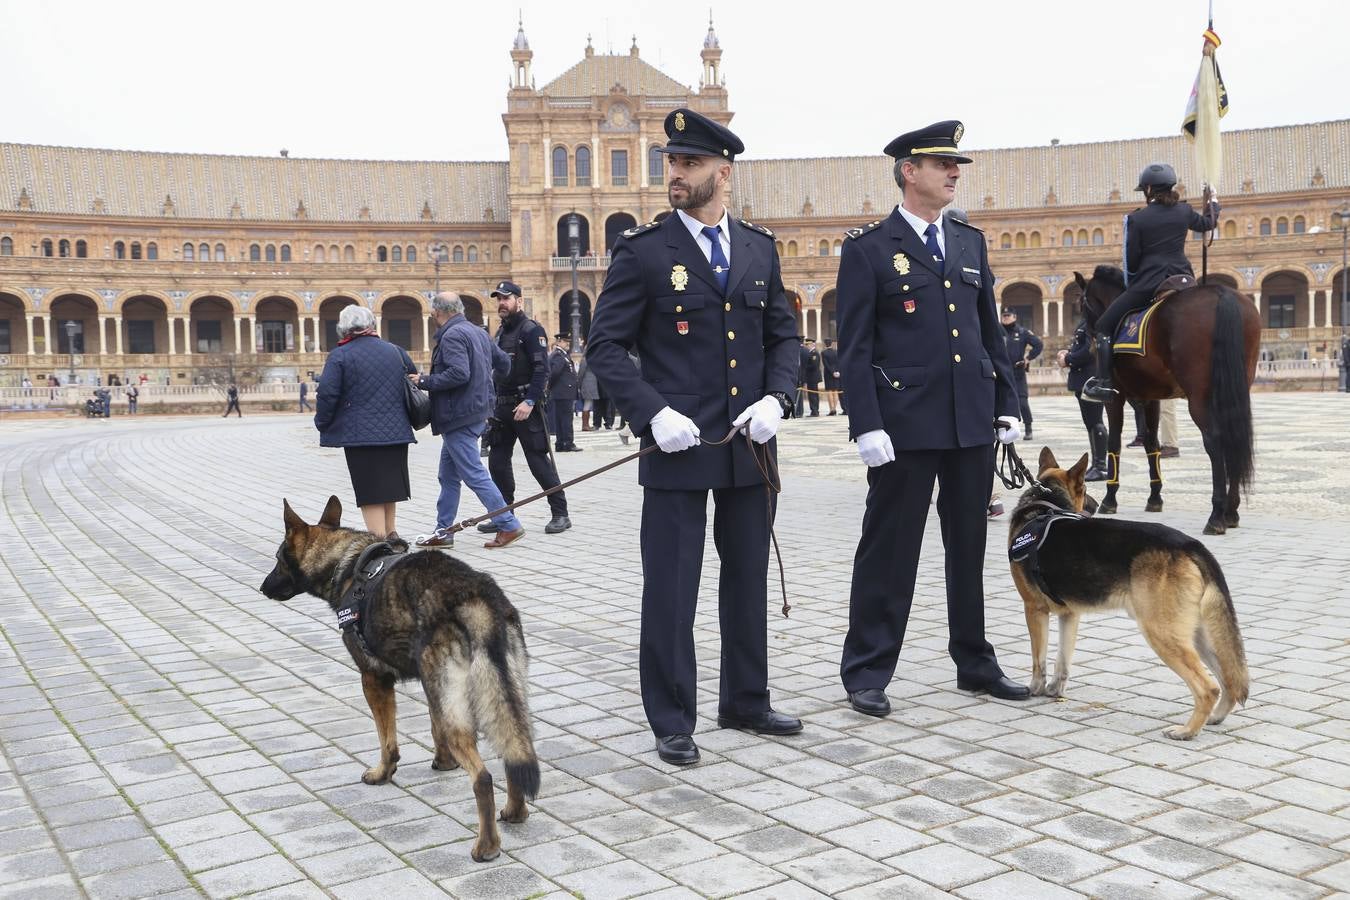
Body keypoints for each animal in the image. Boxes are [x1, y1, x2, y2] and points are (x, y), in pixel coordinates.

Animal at [257, 496, 537, 863]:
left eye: (278, 560)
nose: (262, 587)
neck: (348, 564)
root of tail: (477, 600)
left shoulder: (374, 681)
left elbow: (387, 740)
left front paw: (382, 773)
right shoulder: (430, 689)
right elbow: (433, 728)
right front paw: (443, 763)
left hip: (461, 713)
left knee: (483, 778)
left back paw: (486, 846)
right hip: (504, 700)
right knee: (514, 753)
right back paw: (515, 812)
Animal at [1009, 447, 1247, 739]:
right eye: (1085, 489)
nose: (1096, 505)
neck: (1046, 504)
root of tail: (1191, 545)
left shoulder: (1034, 610)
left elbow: (1039, 660)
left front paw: (1035, 689)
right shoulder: (1070, 615)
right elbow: (1062, 660)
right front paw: (1055, 691)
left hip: (1161, 633)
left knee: (1208, 687)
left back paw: (1187, 731)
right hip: (1198, 636)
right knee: (1229, 680)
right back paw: (1214, 718)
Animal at [1074, 265, 1252, 534]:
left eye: (1082, 304)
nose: (1086, 337)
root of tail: (1222, 293)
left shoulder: (1115, 398)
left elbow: (1114, 443)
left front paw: (1109, 499)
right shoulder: (1151, 398)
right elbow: (1151, 443)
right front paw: (1154, 497)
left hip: (1200, 397)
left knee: (1215, 441)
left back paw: (1216, 516)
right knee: (1233, 438)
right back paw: (1231, 512)